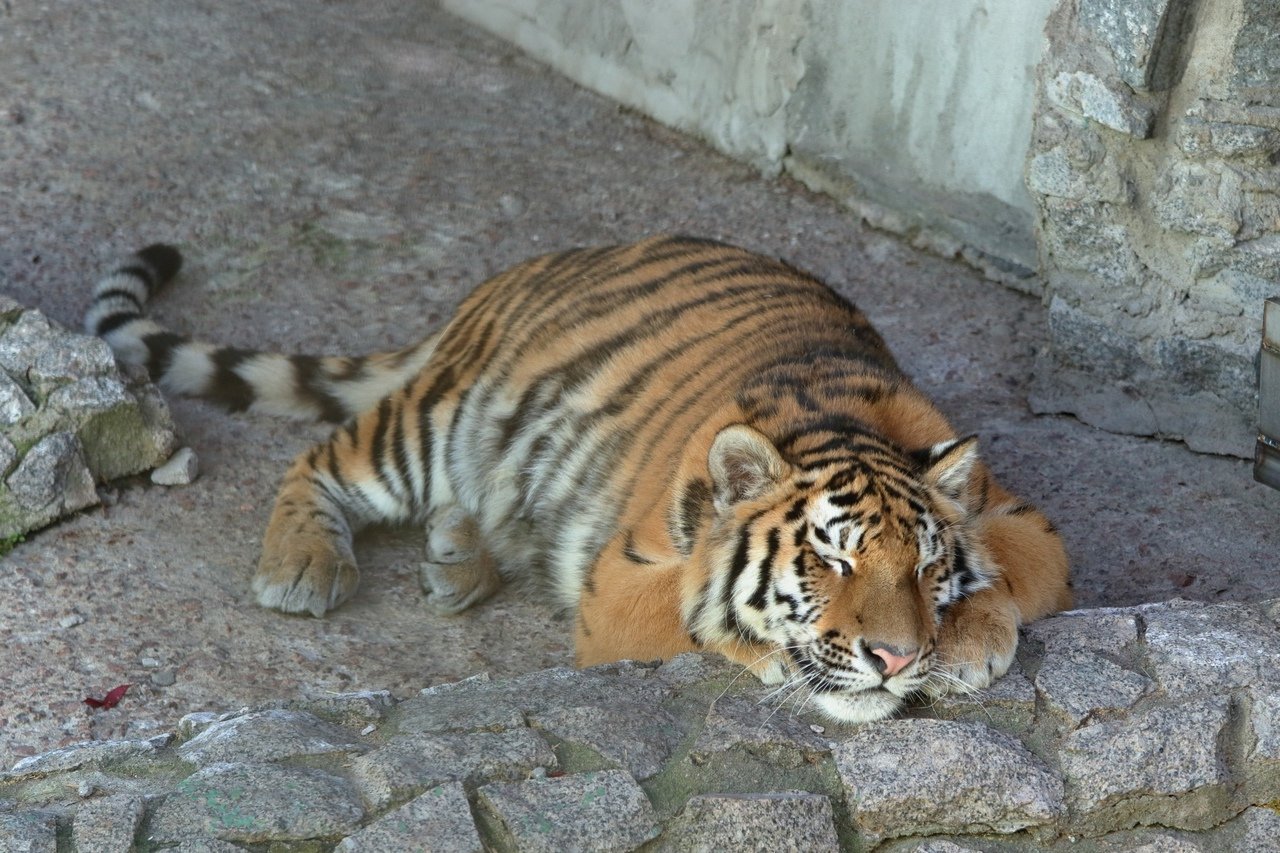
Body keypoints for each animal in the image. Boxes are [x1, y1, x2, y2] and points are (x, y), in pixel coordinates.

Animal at [85, 235, 1075, 722]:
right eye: (829, 561)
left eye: (923, 566)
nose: (898, 658)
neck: (840, 422)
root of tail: (531, 269)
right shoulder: (619, 586)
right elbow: (699, 612)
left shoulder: (1024, 518)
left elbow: (1013, 572)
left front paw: (967, 639)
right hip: (441, 420)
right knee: (320, 457)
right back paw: (303, 568)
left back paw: (458, 556)